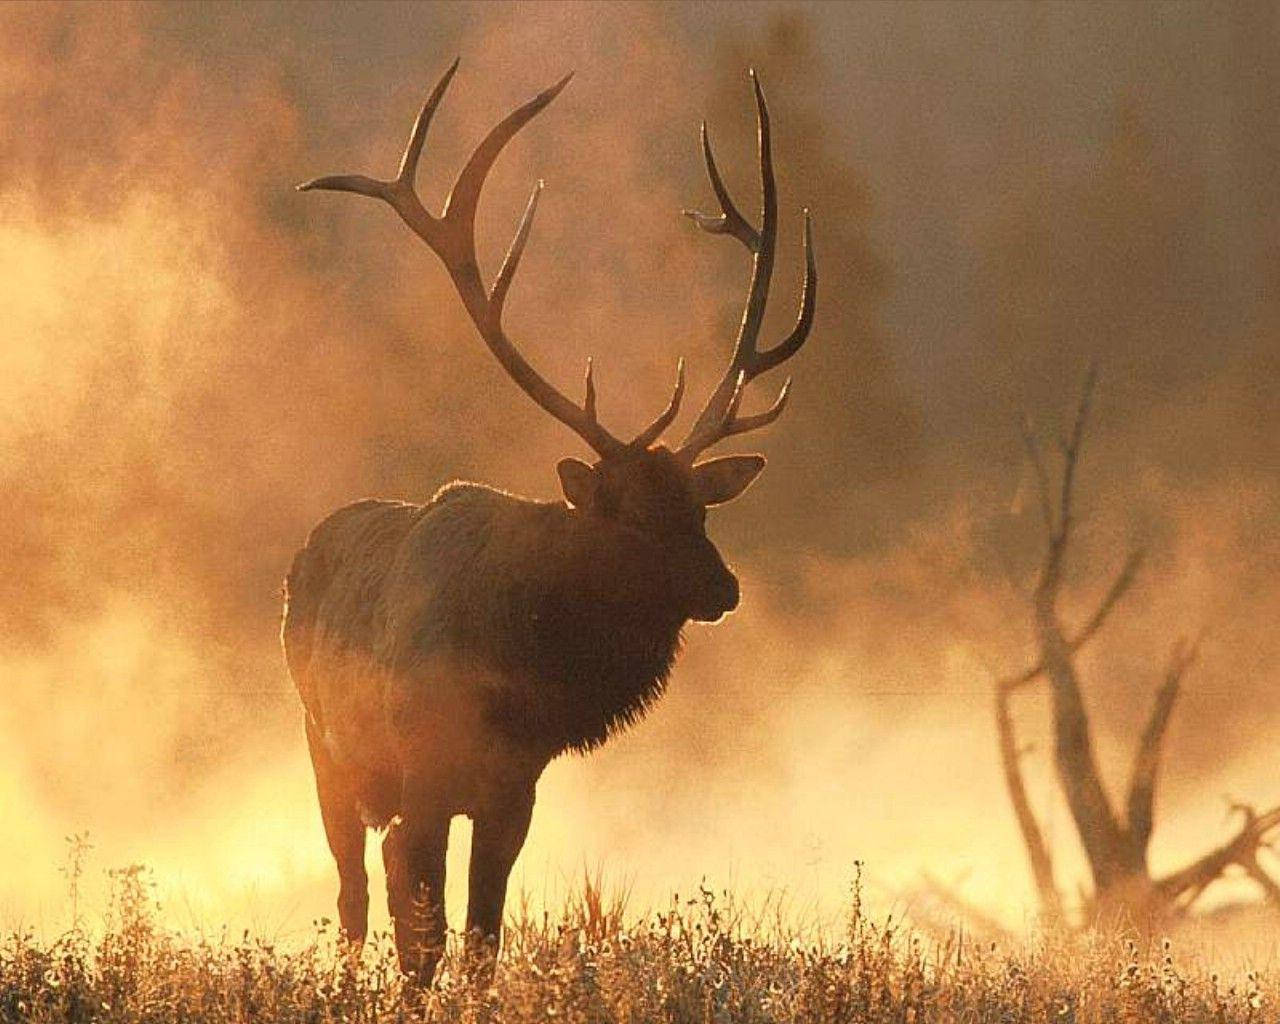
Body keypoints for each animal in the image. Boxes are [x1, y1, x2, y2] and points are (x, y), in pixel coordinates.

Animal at [282, 58, 816, 983]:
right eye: (628, 515)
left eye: (700, 507)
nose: (726, 588)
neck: (517, 668)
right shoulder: (424, 777)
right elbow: (420, 936)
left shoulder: (514, 789)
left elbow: (483, 936)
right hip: (324, 748)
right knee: (351, 896)